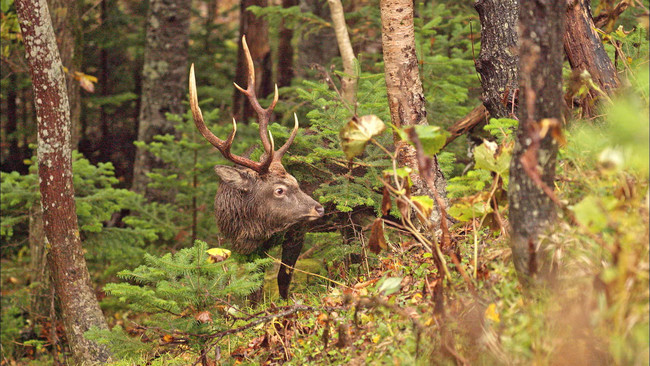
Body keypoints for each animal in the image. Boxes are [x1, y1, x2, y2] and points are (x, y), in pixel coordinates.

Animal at [187, 35, 324, 298]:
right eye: (279, 189)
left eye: (297, 182)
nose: (319, 208)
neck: (250, 229)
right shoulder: (244, 248)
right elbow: (253, 285)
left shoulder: (296, 231)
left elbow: (283, 277)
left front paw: (283, 305)